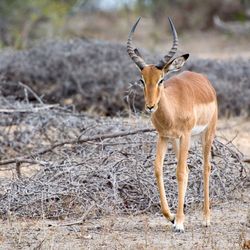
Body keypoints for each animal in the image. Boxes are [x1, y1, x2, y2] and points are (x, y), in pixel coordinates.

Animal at [126, 17, 218, 232]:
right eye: (142, 80)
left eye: (161, 79)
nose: (150, 106)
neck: (172, 110)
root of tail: (204, 80)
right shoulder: (163, 136)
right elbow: (158, 169)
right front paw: (171, 217)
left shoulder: (185, 135)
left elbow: (180, 173)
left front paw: (180, 223)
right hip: (177, 142)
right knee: (188, 169)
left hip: (206, 134)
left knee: (205, 168)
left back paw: (206, 218)